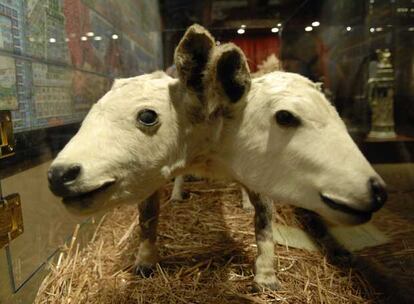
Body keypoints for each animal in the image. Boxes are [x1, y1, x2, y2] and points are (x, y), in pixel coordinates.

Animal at [48, 25, 388, 290]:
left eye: (147, 116)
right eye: (286, 116)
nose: (59, 175)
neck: (209, 153)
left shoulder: (259, 175)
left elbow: (265, 224)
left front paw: (266, 275)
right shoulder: (150, 178)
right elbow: (147, 219)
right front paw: (145, 261)